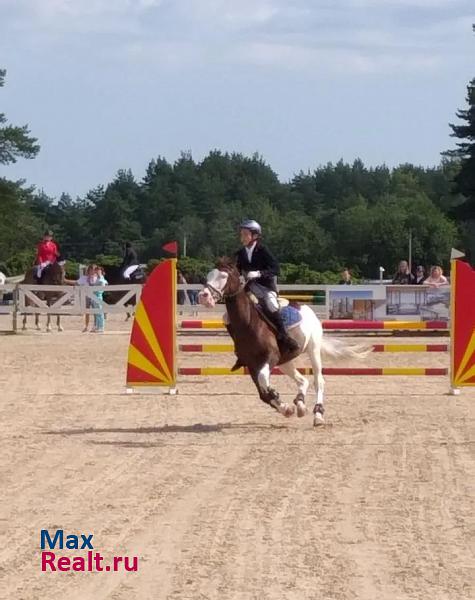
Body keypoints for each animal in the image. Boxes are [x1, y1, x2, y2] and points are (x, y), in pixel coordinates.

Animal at [199, 258, 370, 426]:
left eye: (223, 276)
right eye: (208, 276)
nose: (203, 296)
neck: (248, 323)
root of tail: (305, 308)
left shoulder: (270, 357)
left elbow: (263, 381)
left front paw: (278, 398)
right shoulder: (252, 364)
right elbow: (263, 392)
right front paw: (285, 408)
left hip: (313, 350)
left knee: (318, 381)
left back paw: (318, 415)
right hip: (285, 361)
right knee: (302, 381)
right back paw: (300, 404)